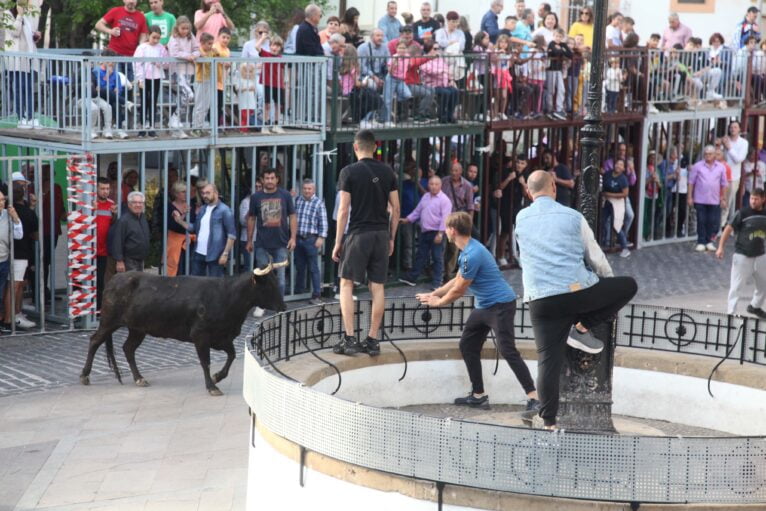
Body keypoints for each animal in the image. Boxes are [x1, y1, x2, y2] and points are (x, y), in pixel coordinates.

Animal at [79, 262, 288, 398]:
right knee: (95, 341)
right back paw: (84, 375)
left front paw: (218, 377)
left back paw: (139, 378)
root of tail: (116, 278)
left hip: (137, 329)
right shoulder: (200, 336)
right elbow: (205, 362)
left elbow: (232, 355)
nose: (283, 306)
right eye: (268, 285)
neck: (226, 296)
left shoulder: (222, 338)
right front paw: (212, 386)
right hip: (109, 321)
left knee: (128, 348)